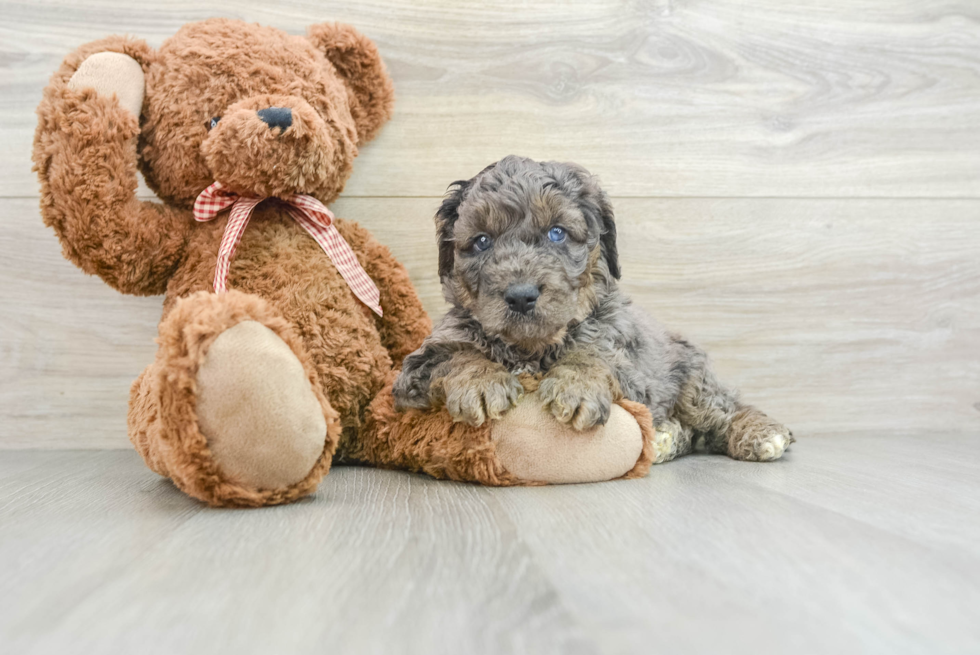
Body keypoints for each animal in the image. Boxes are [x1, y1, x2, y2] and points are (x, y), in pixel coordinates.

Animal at [394, 154, 792, 464]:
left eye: (557, 233)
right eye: (481, 241)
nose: (521, 295)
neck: (530, 349)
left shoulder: (627, 362)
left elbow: (594, 353)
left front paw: (576, 387)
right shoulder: (415, 370)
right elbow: (453, 355)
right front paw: (482, 381)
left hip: (693, 380)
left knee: (723, 410)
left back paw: (762, 433)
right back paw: (664, 440)